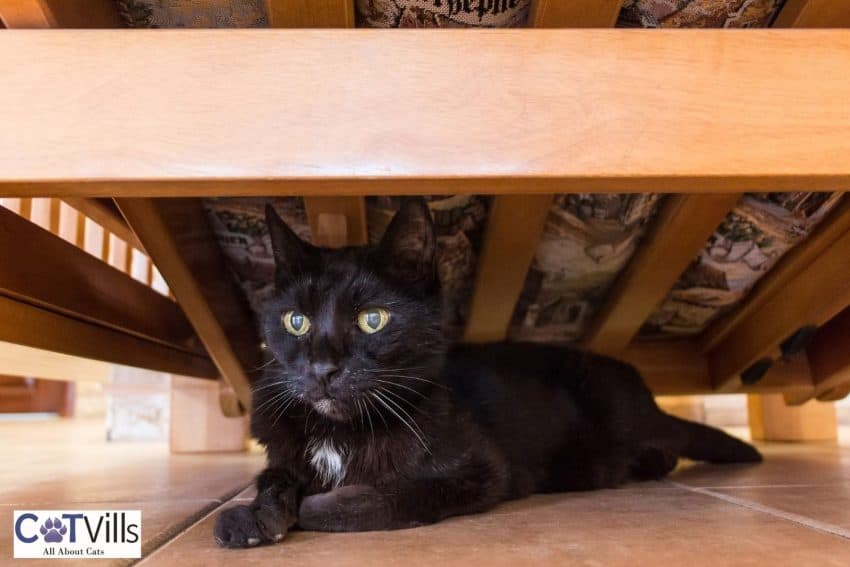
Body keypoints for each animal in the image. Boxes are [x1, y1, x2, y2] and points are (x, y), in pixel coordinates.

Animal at [214, 197, 760, 548]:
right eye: (296, 321)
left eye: (373, 319)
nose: (323, 369)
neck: (340, 431)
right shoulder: (282, 450)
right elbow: (274, 478)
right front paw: (253, 514)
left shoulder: (479, 469)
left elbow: (399, 495)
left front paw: (319, 506)